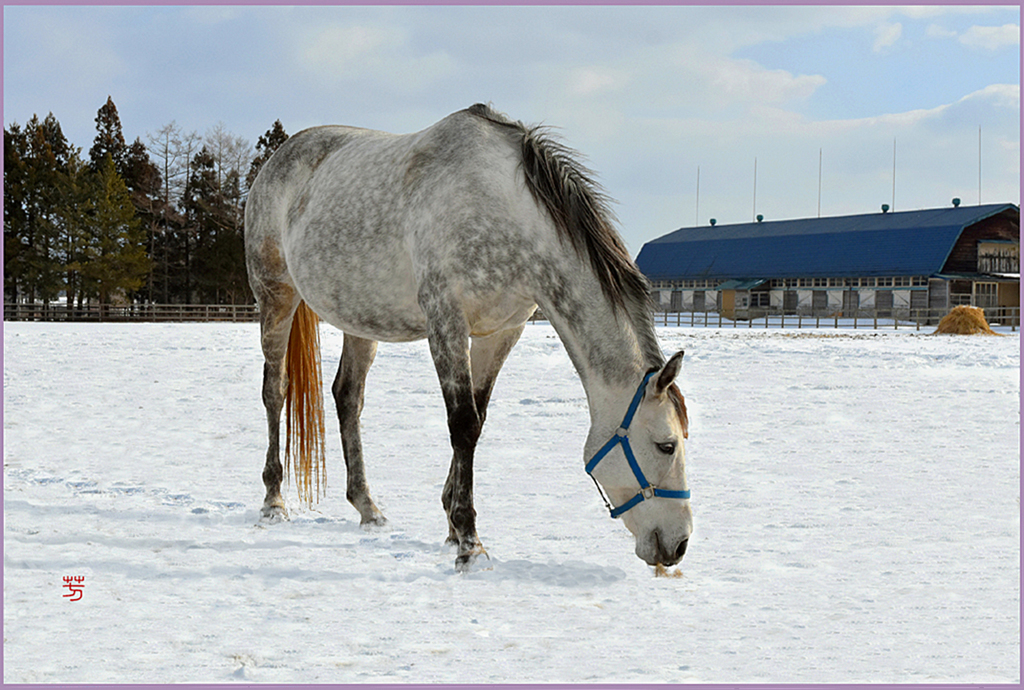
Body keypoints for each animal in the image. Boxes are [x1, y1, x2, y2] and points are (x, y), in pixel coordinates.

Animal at [244, 104, 693, 571]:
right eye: (666, 446)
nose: (678, 545)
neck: (504, 210)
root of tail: (279, 158)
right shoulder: (447, 322)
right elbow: (462, 423)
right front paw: (469, 542)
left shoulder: (502, 332)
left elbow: (478, 418)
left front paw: (451, 525)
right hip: (276, 297)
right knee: (275, 390)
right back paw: (273, 501)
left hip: (360, 319)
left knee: (348, 397)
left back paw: (368, 507)